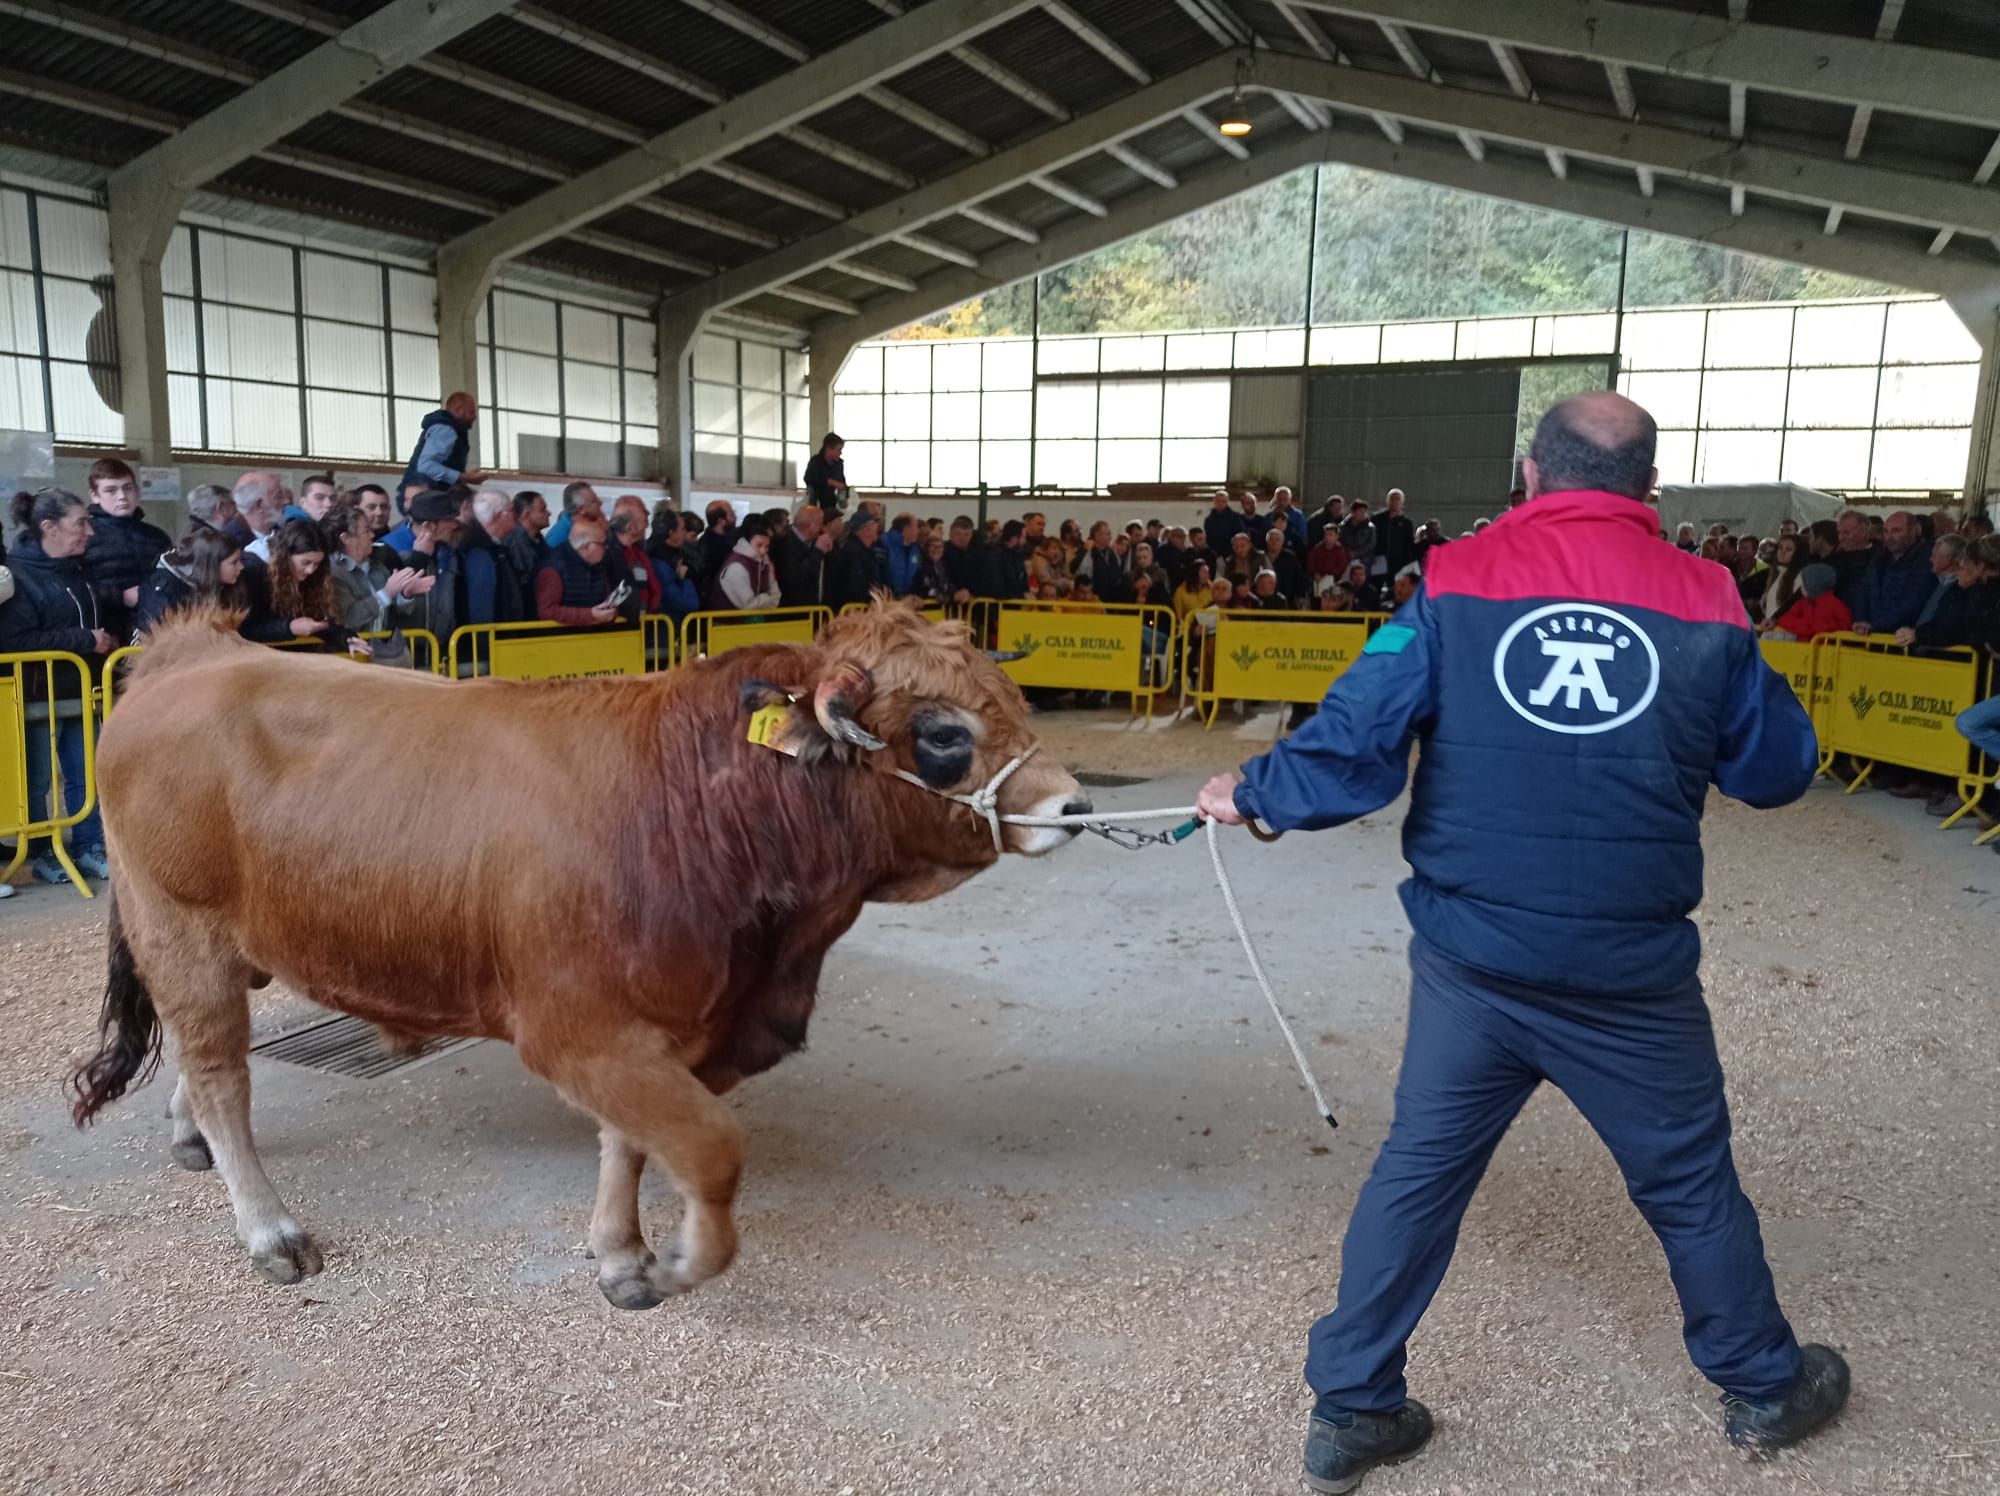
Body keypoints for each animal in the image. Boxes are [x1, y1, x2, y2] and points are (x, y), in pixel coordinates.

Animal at [70, 600, 1088, 1304]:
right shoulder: (578, 1027)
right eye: (945, 734)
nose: (1074, 804)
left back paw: (189, 1137)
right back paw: (269, 1228)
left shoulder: (661, 1021)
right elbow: (710, 1148)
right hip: (181, 931)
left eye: (1011, 701)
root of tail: (199, 651)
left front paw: (622, 1253)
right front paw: (679, 1261)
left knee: (201, 1062)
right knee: (220, 1072)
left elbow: (633, 1142)